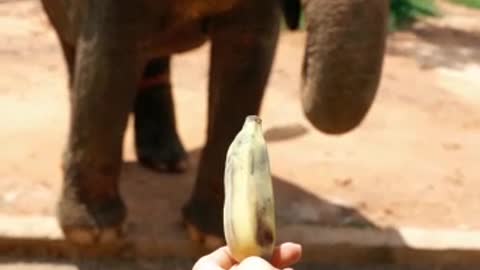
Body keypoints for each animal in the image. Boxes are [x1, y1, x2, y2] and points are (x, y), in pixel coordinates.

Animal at [38, 0, 390, 246]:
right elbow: (108, 55)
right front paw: (95, 234)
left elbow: (246, 56)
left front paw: (210, 236)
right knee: (78, 49)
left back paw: (168, 162)